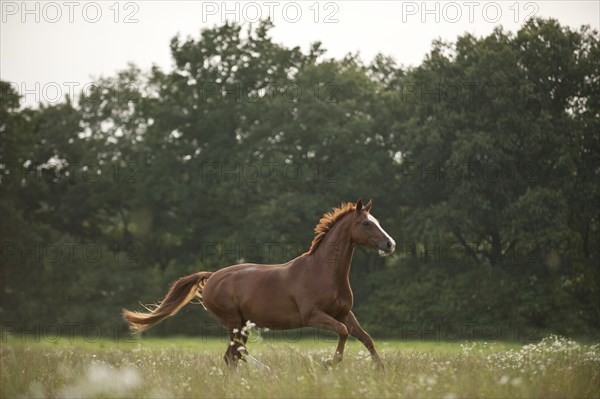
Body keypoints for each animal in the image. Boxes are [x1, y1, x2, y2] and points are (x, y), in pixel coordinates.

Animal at [122, 200, 396, 368]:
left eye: (377, 220)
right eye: (366, 223)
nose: (390, 244)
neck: (324, 272)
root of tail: (212, 277)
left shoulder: (344, 312)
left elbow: (365, 338)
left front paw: (381, 370)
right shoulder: (313, 316)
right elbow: (343, 332)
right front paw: (329, 364)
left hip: (242, 324)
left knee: (232, 355)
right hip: (233, 321)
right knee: (235, 353)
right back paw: (266, 372)